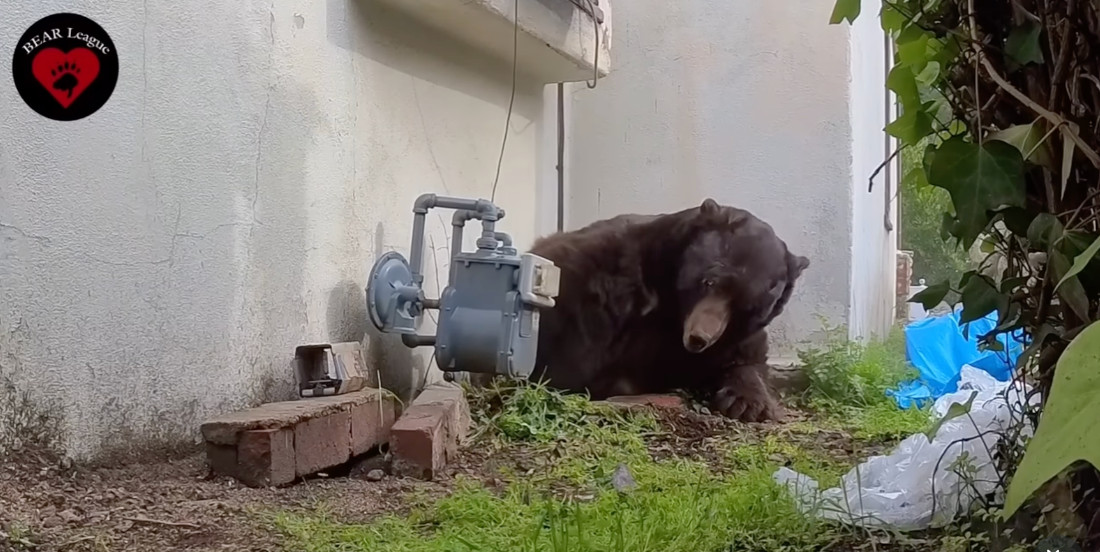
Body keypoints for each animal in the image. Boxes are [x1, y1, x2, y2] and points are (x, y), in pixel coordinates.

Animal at [523, 198, 810, 423]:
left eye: (747, 307)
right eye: (709, 281)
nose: (698, 338)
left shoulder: (727, 339)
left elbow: (746, 359)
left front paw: (746, 403)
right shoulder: (602, 279)